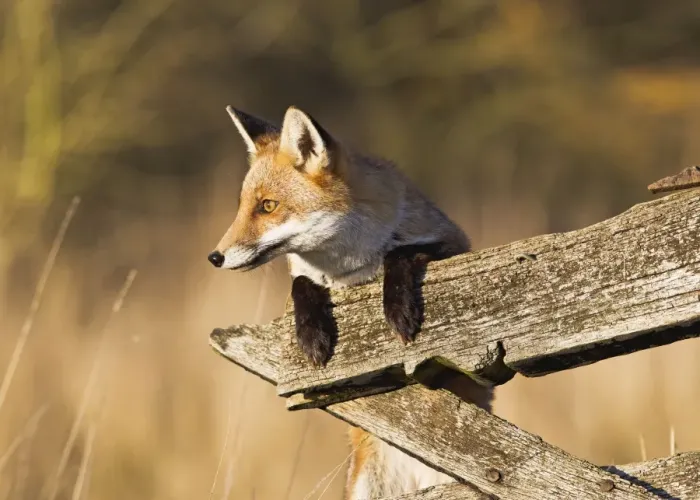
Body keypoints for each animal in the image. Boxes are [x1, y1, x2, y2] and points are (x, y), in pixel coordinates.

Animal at [208, 105, 493, 498]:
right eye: (243, 207)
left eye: (267, 206)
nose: (214, 257)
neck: (350, 271)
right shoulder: (304, 283)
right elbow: (301, 284)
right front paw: (313, 336)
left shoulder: (456, 249)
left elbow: (401, 253)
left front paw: (399, 310)